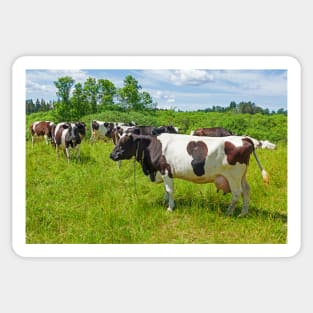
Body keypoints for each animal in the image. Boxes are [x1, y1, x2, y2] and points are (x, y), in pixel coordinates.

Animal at [108, 132, 266, 217]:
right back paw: (243, 213)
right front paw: (165, 201)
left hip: (233, 176)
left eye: (124, 143)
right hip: (241, 176)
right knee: (246, 190)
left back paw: (229, 212)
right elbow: (166, 190)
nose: (112, 155)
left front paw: (170, 207)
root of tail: (244, 138)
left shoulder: (166, 170)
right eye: (117, 141)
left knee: (236, 193)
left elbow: (170, 190)